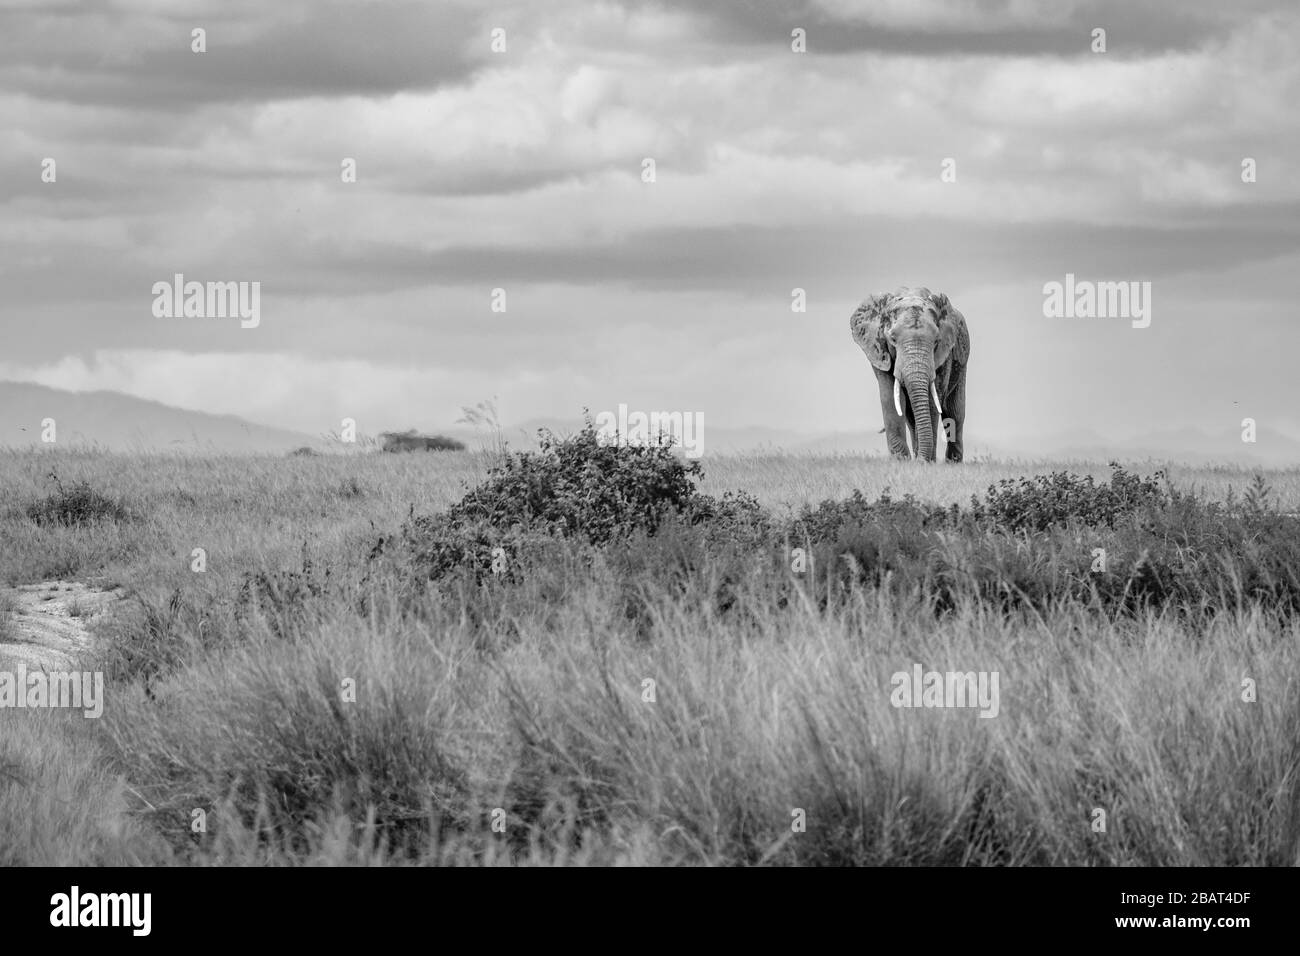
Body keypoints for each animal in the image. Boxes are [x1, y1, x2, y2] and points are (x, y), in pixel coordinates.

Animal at [847, 286, 972, 463]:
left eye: (936, 341)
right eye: (892, 339)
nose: (920, 460)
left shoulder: (944, 354)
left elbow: (933, 401)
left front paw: (926, 462)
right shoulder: (879, 350)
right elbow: (890, 398)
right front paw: (901, 462)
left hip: (962, 361)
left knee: (955, 412)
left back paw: (952, 463)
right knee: (911, 416)